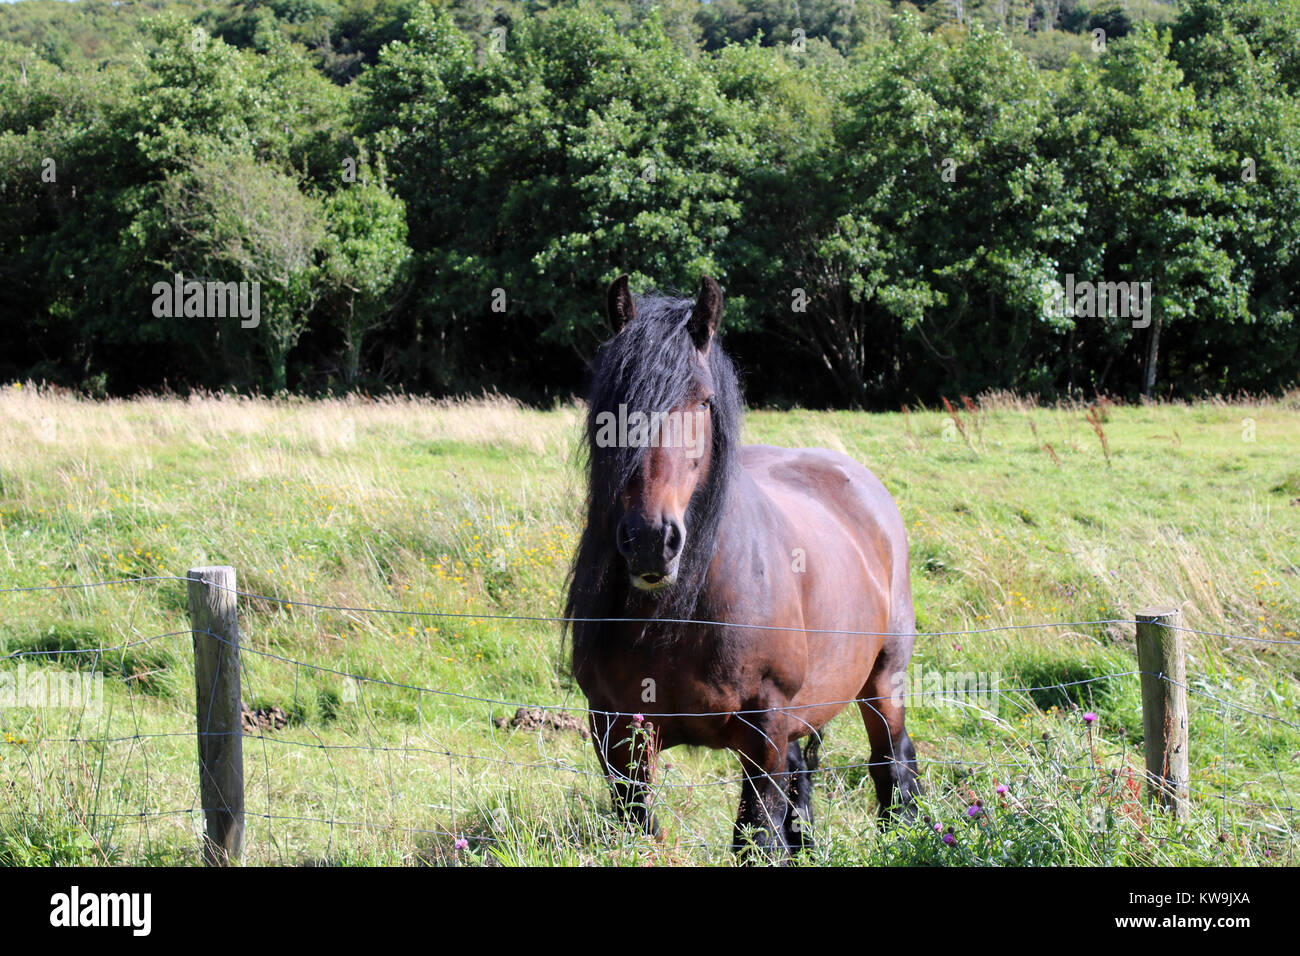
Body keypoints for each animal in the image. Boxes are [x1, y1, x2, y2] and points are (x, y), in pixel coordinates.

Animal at [564, 273, 920, 858]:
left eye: (703, 401)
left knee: (892, 761)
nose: (650, 541)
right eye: (610, 407)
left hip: (884, 681)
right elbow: (641, 830)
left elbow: (756, 838)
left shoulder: (766, 727)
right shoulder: (616, 732)